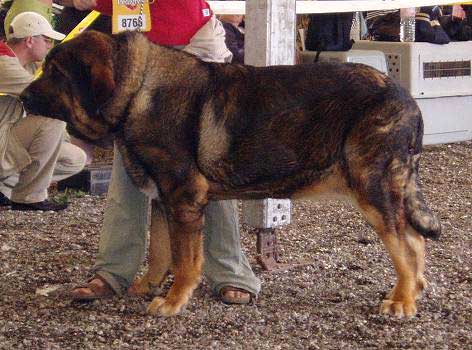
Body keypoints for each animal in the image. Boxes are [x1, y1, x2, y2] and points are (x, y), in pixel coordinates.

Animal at [20, 31, 440, 318]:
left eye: (55, 73)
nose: (22, 96)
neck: (138, 89)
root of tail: (405, 98)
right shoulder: (162, 199)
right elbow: (158, 252)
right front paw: (146, 288)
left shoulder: (183, 199)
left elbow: (184, 260)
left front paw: (173, 301)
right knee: (415, 241)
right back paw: (409, 292)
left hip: (372, 188)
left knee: (405, 245)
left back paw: (402, 301)